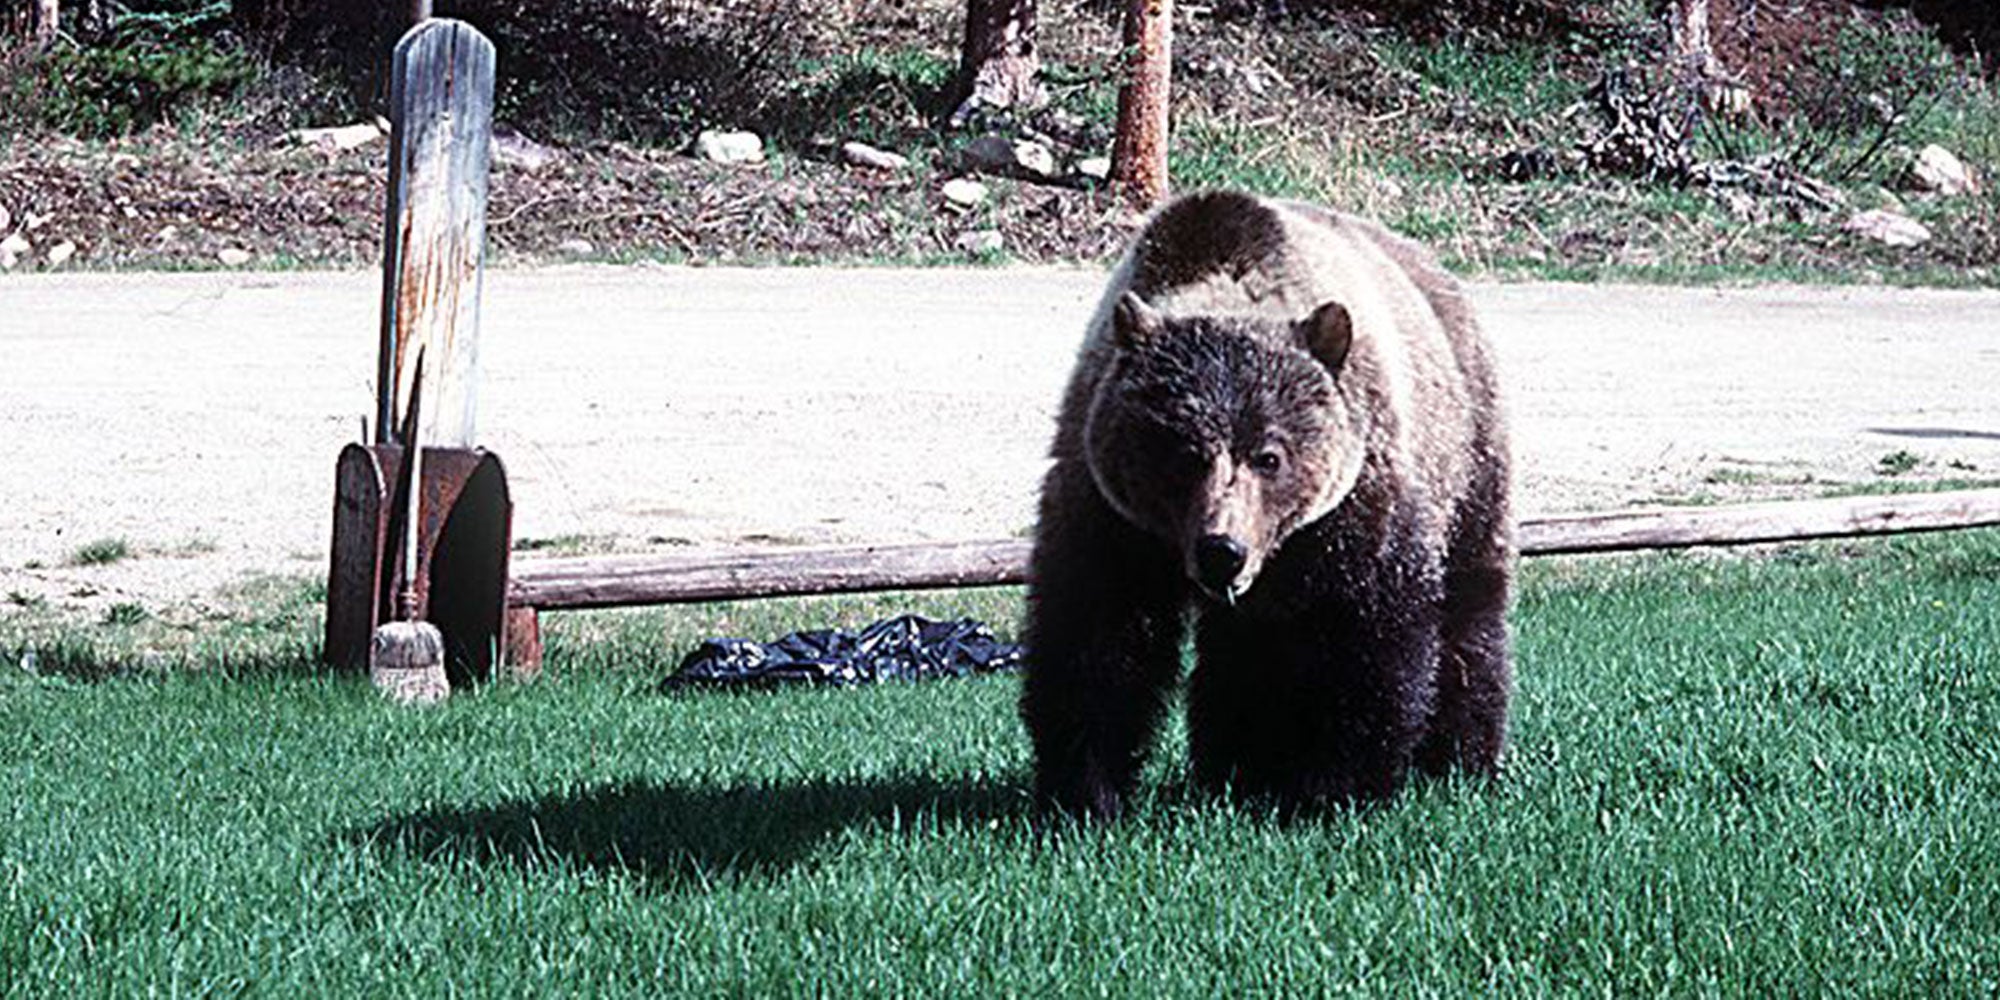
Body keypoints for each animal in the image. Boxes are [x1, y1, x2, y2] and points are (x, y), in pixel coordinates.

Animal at [1020, 189, 1513, 820]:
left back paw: (1462, 756)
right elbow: (1097, 637)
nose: (1221, 551)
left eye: (1270, 456)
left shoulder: (1356, 506)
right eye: (1183, 454)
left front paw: (1336, 786)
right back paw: (1236, 766)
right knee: (1243, 650)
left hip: (1467, 448)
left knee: (1469, 603)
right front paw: (1087, 791)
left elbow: (1366, 634)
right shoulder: (1112, 515)